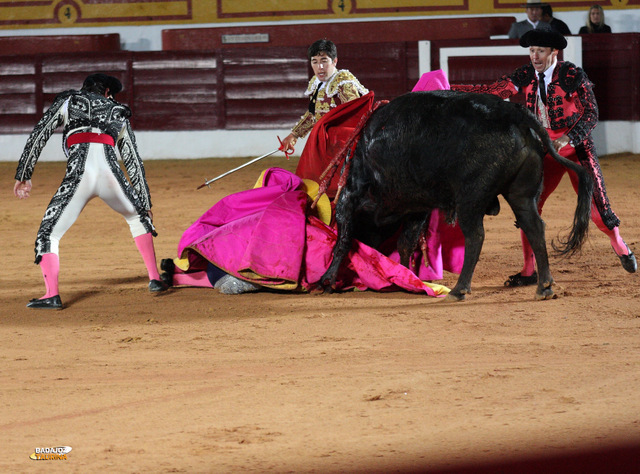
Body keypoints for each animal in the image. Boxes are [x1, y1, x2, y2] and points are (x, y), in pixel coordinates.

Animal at [320, 90, 596, 300]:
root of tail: (514, 113)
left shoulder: (351, 197)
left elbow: (344, 239)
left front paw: (326, 280)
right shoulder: (418, 207)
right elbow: (406, 242)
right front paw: (406, 278)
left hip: (470, 197)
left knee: (476, 235)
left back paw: (459, 289)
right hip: (521, 193)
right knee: (534, 226)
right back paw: (545, 287)